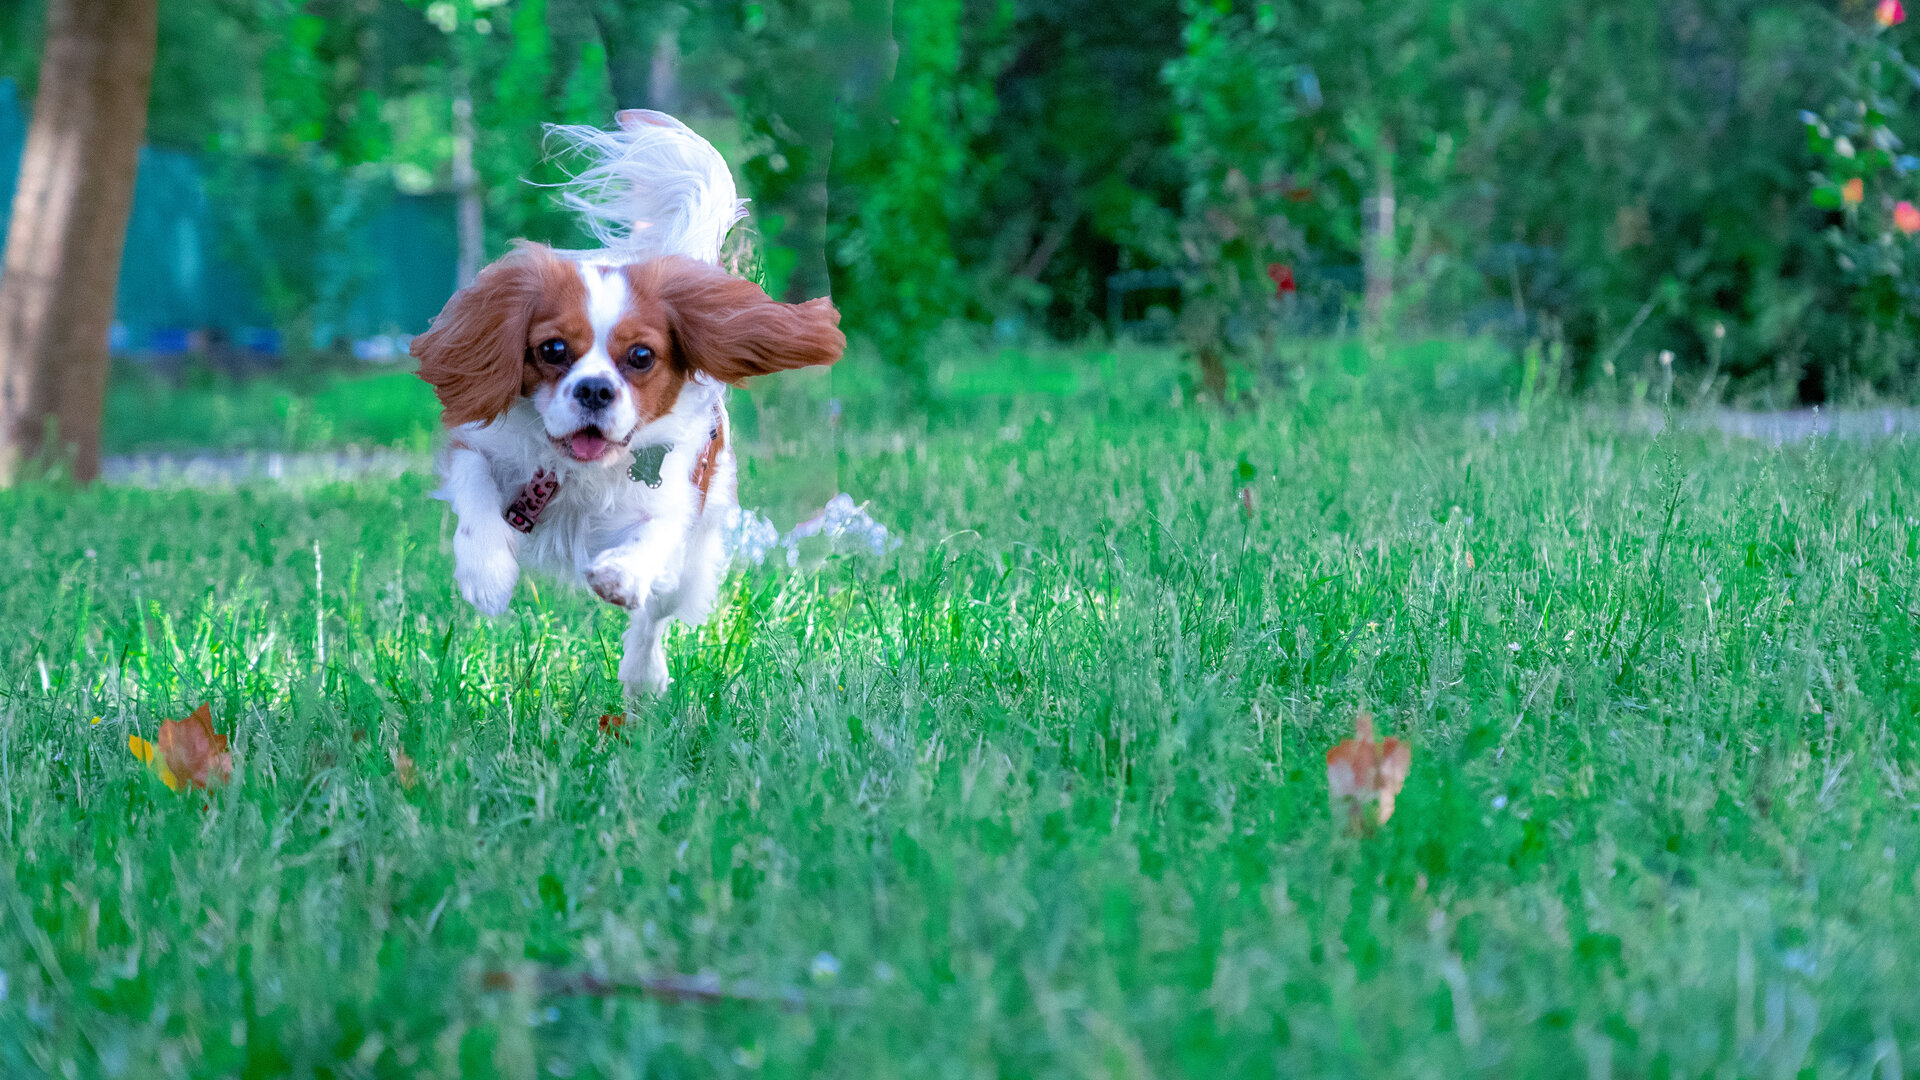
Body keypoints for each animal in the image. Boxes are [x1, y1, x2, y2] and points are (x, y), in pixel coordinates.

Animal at [412, 113, 840, 691]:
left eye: (640, 356)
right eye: (552, 349)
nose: (595, 389)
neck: (577, 472)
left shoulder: (676, 494)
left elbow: (654, 534)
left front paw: (621, 573)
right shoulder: (478, 445)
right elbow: (474, 485)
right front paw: (487, 574)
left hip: (692, 560)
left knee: (656, 614)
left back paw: (643, 675)